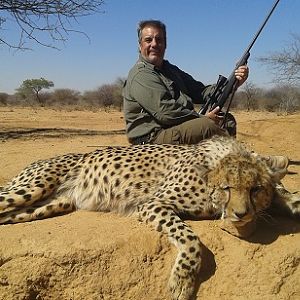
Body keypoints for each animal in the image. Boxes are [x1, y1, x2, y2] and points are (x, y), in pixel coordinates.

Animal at [0, 137, 300, 300]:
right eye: (226, 188)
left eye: (255, 189)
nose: (241, 213)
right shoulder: (152, 204)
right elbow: (191, 239)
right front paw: (182, 281)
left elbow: (288, 198)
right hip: (31, 188)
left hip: (47, 205)